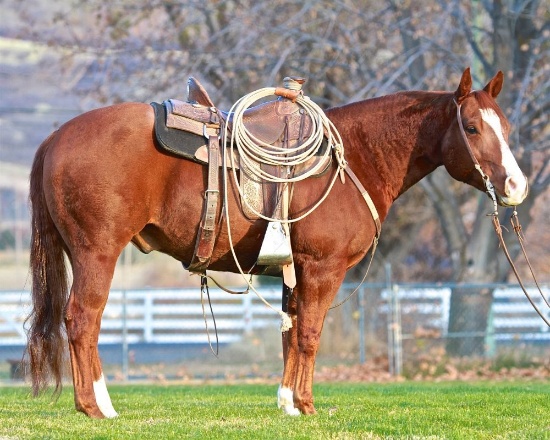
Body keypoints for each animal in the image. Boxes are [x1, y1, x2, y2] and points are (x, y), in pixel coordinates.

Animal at [27, 67, 532, 418]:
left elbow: (290, 333)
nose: (515, 186)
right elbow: (309, 333)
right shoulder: (323, 267)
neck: (355, 157)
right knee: (82, 320)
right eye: (472, 128)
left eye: (506, 127)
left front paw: (287, 402)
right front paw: (306, 405)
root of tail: (57, 135)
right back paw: (97, 407)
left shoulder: (294, 271)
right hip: (97, 254)